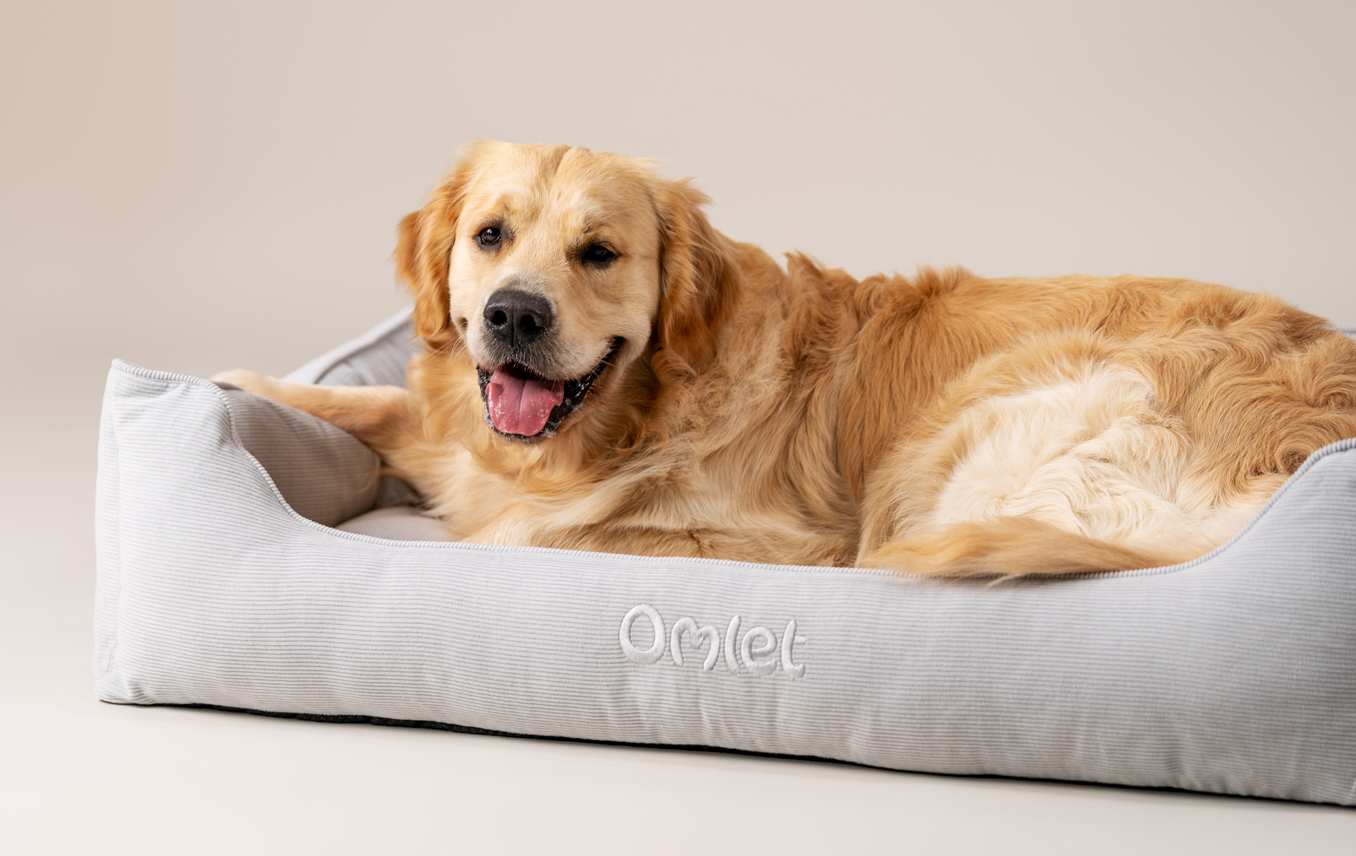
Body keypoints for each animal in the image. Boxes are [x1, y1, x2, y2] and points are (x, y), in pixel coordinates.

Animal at [211, 140, 1356, 580]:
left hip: (978, 437)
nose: (514, 316)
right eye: (490, 235)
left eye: (599, 253)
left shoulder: (772, 542)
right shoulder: (466, 434)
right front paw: (240, 384)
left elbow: (532, 535)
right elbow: (390, 412)